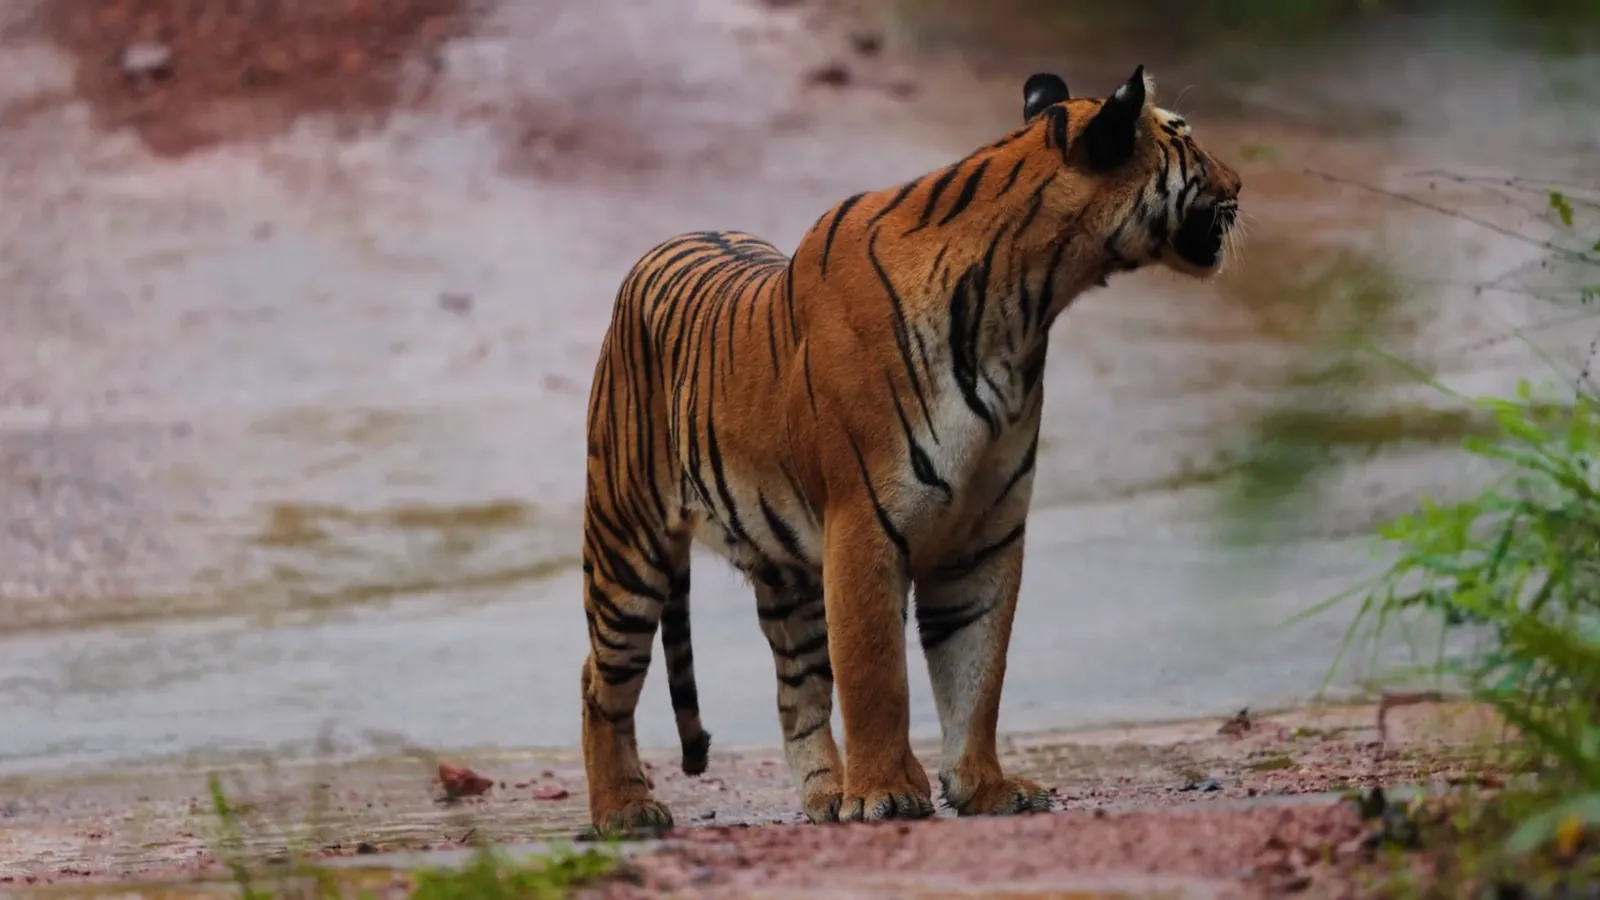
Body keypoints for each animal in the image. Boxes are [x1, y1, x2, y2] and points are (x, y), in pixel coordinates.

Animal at [577, 64, 1242, 836]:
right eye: (1185, 135)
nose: (1240, 182)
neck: (1025, 306)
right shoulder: (864, 524)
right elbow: (877, 676)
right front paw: (886, 793)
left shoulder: (985, 535)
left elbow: (977, 672)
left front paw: (984, 787)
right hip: (627, 547)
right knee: (599, 679)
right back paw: (626, 809)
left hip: (786, 574)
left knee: (797, 691)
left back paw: (823, 796)